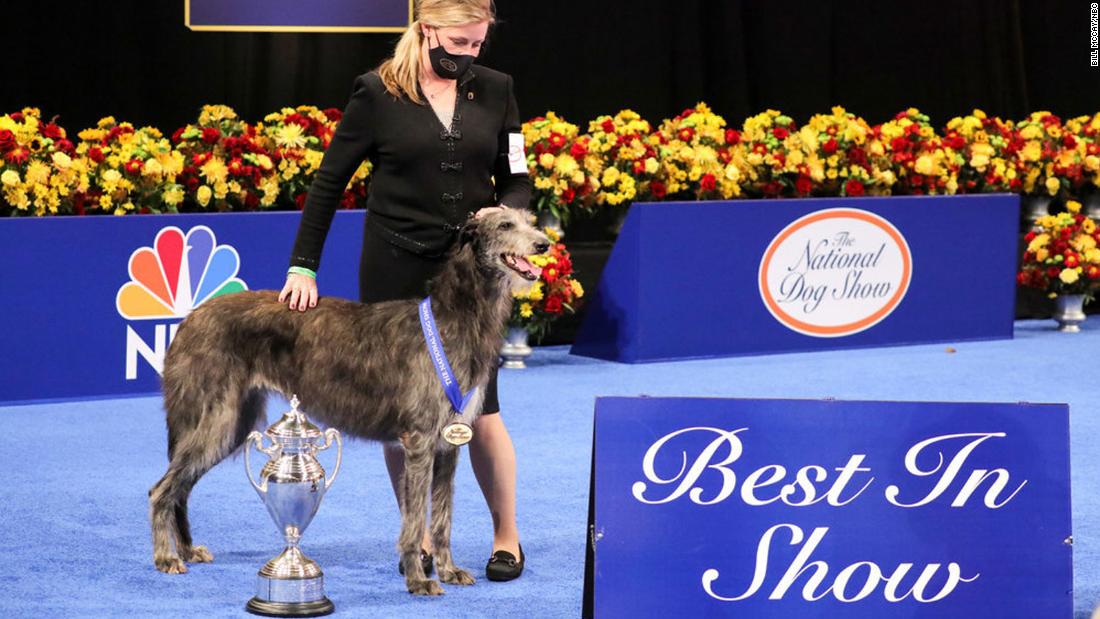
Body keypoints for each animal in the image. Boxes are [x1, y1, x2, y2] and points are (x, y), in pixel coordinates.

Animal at [148, 206, 550, 593]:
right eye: (505, 225)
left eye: (529, 221)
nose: (545, 243)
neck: (453, 316)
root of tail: (191, 318)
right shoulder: (420, 440)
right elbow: (415, 518)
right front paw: (418, 580)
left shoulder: (450, 440)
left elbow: (442, 517)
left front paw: (448, 570)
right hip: (218, 417)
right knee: (161, 489)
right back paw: (166, 557)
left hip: (235, 421)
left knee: (181, 486)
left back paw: (186, 549)